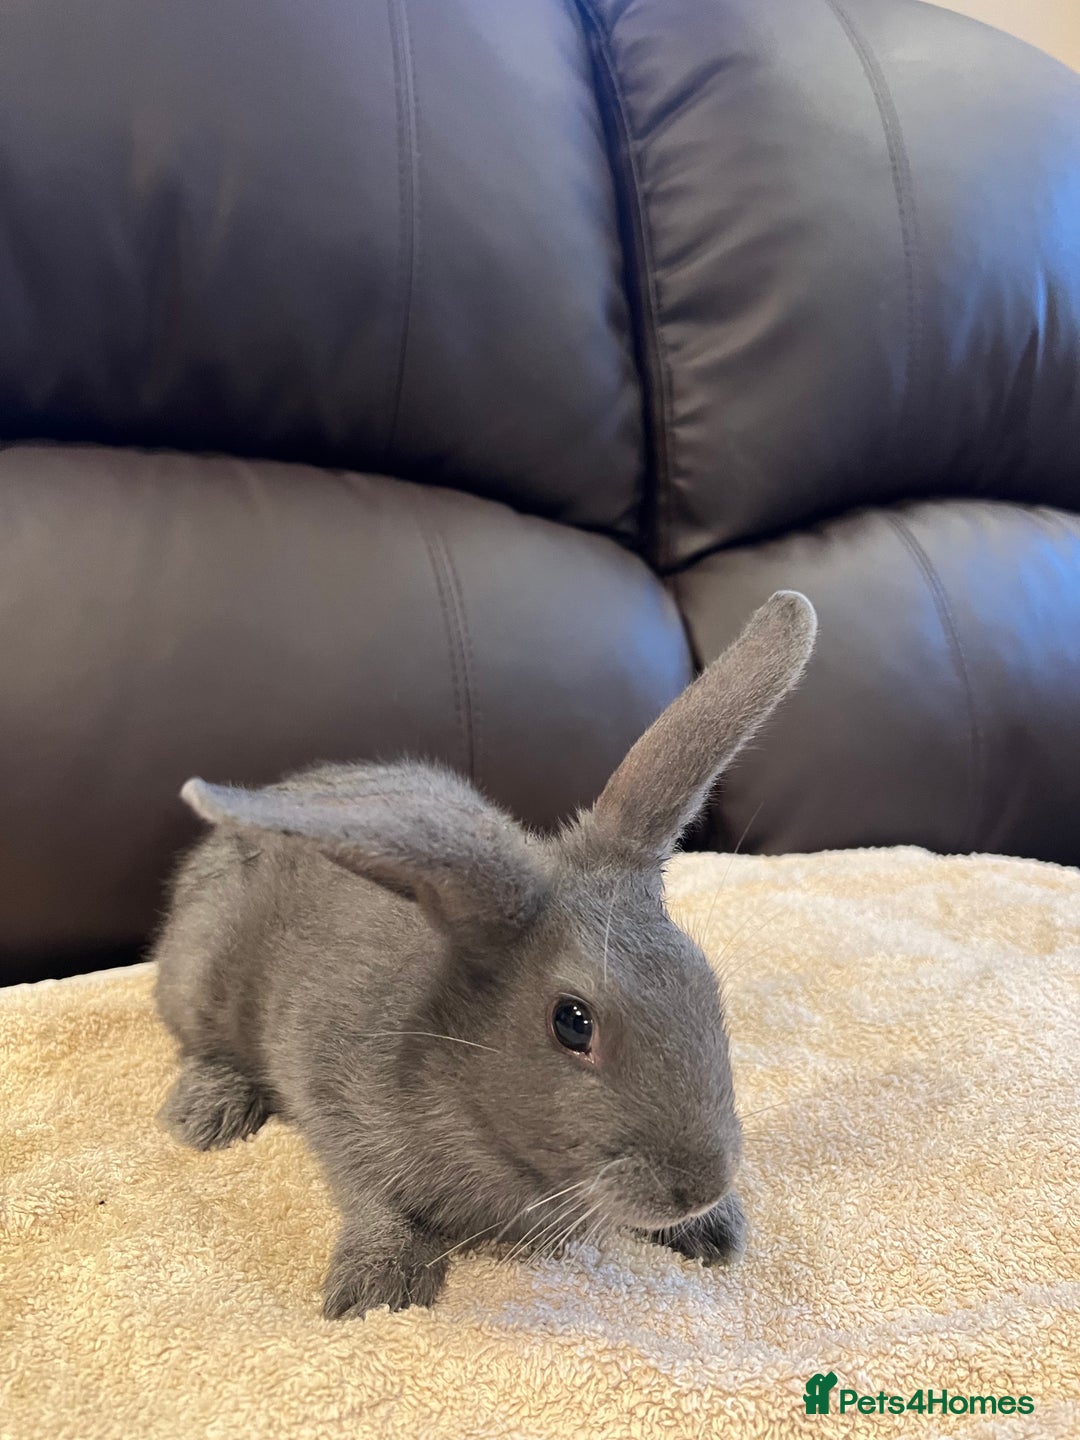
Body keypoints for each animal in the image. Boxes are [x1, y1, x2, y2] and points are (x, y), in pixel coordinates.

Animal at [153, 590, 816, 1318]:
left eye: (705, 986)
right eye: (572, 1023)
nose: (697, 1187)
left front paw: (717, 1229)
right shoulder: (332, 1099)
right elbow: (369, 1194)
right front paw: (374, 1290)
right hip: (203, 975)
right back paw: (203, 1114)